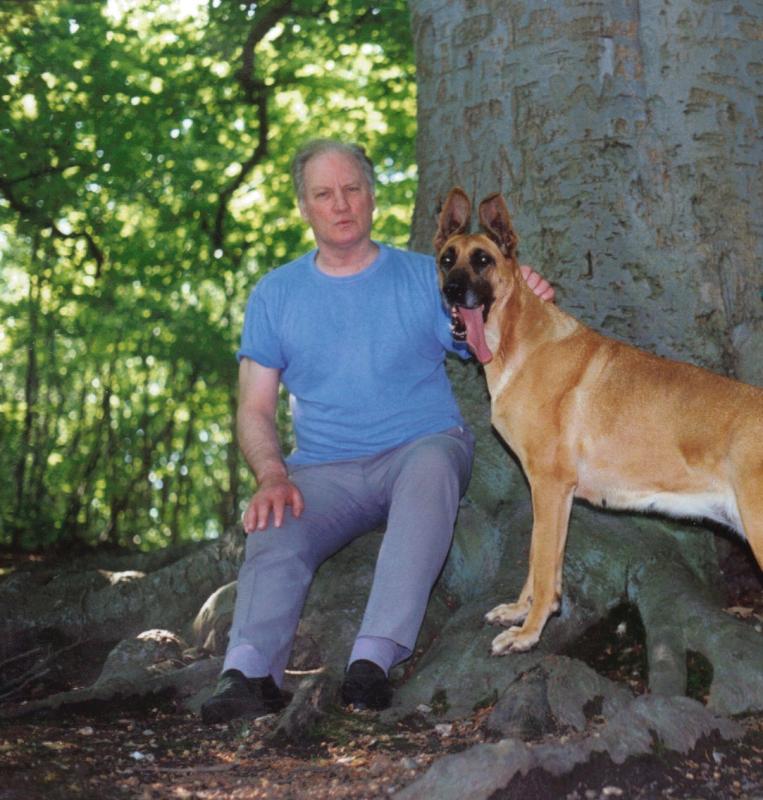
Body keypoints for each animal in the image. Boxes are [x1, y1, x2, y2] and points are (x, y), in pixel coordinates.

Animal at [432, 188, 760, 656]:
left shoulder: (550, 487)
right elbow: (538, 561)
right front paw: (518, 612)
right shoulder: (551, 494)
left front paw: (527, 633)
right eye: (447, 259)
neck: (516, 343)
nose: (454, 291)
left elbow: (543, 566)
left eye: (482, 260)